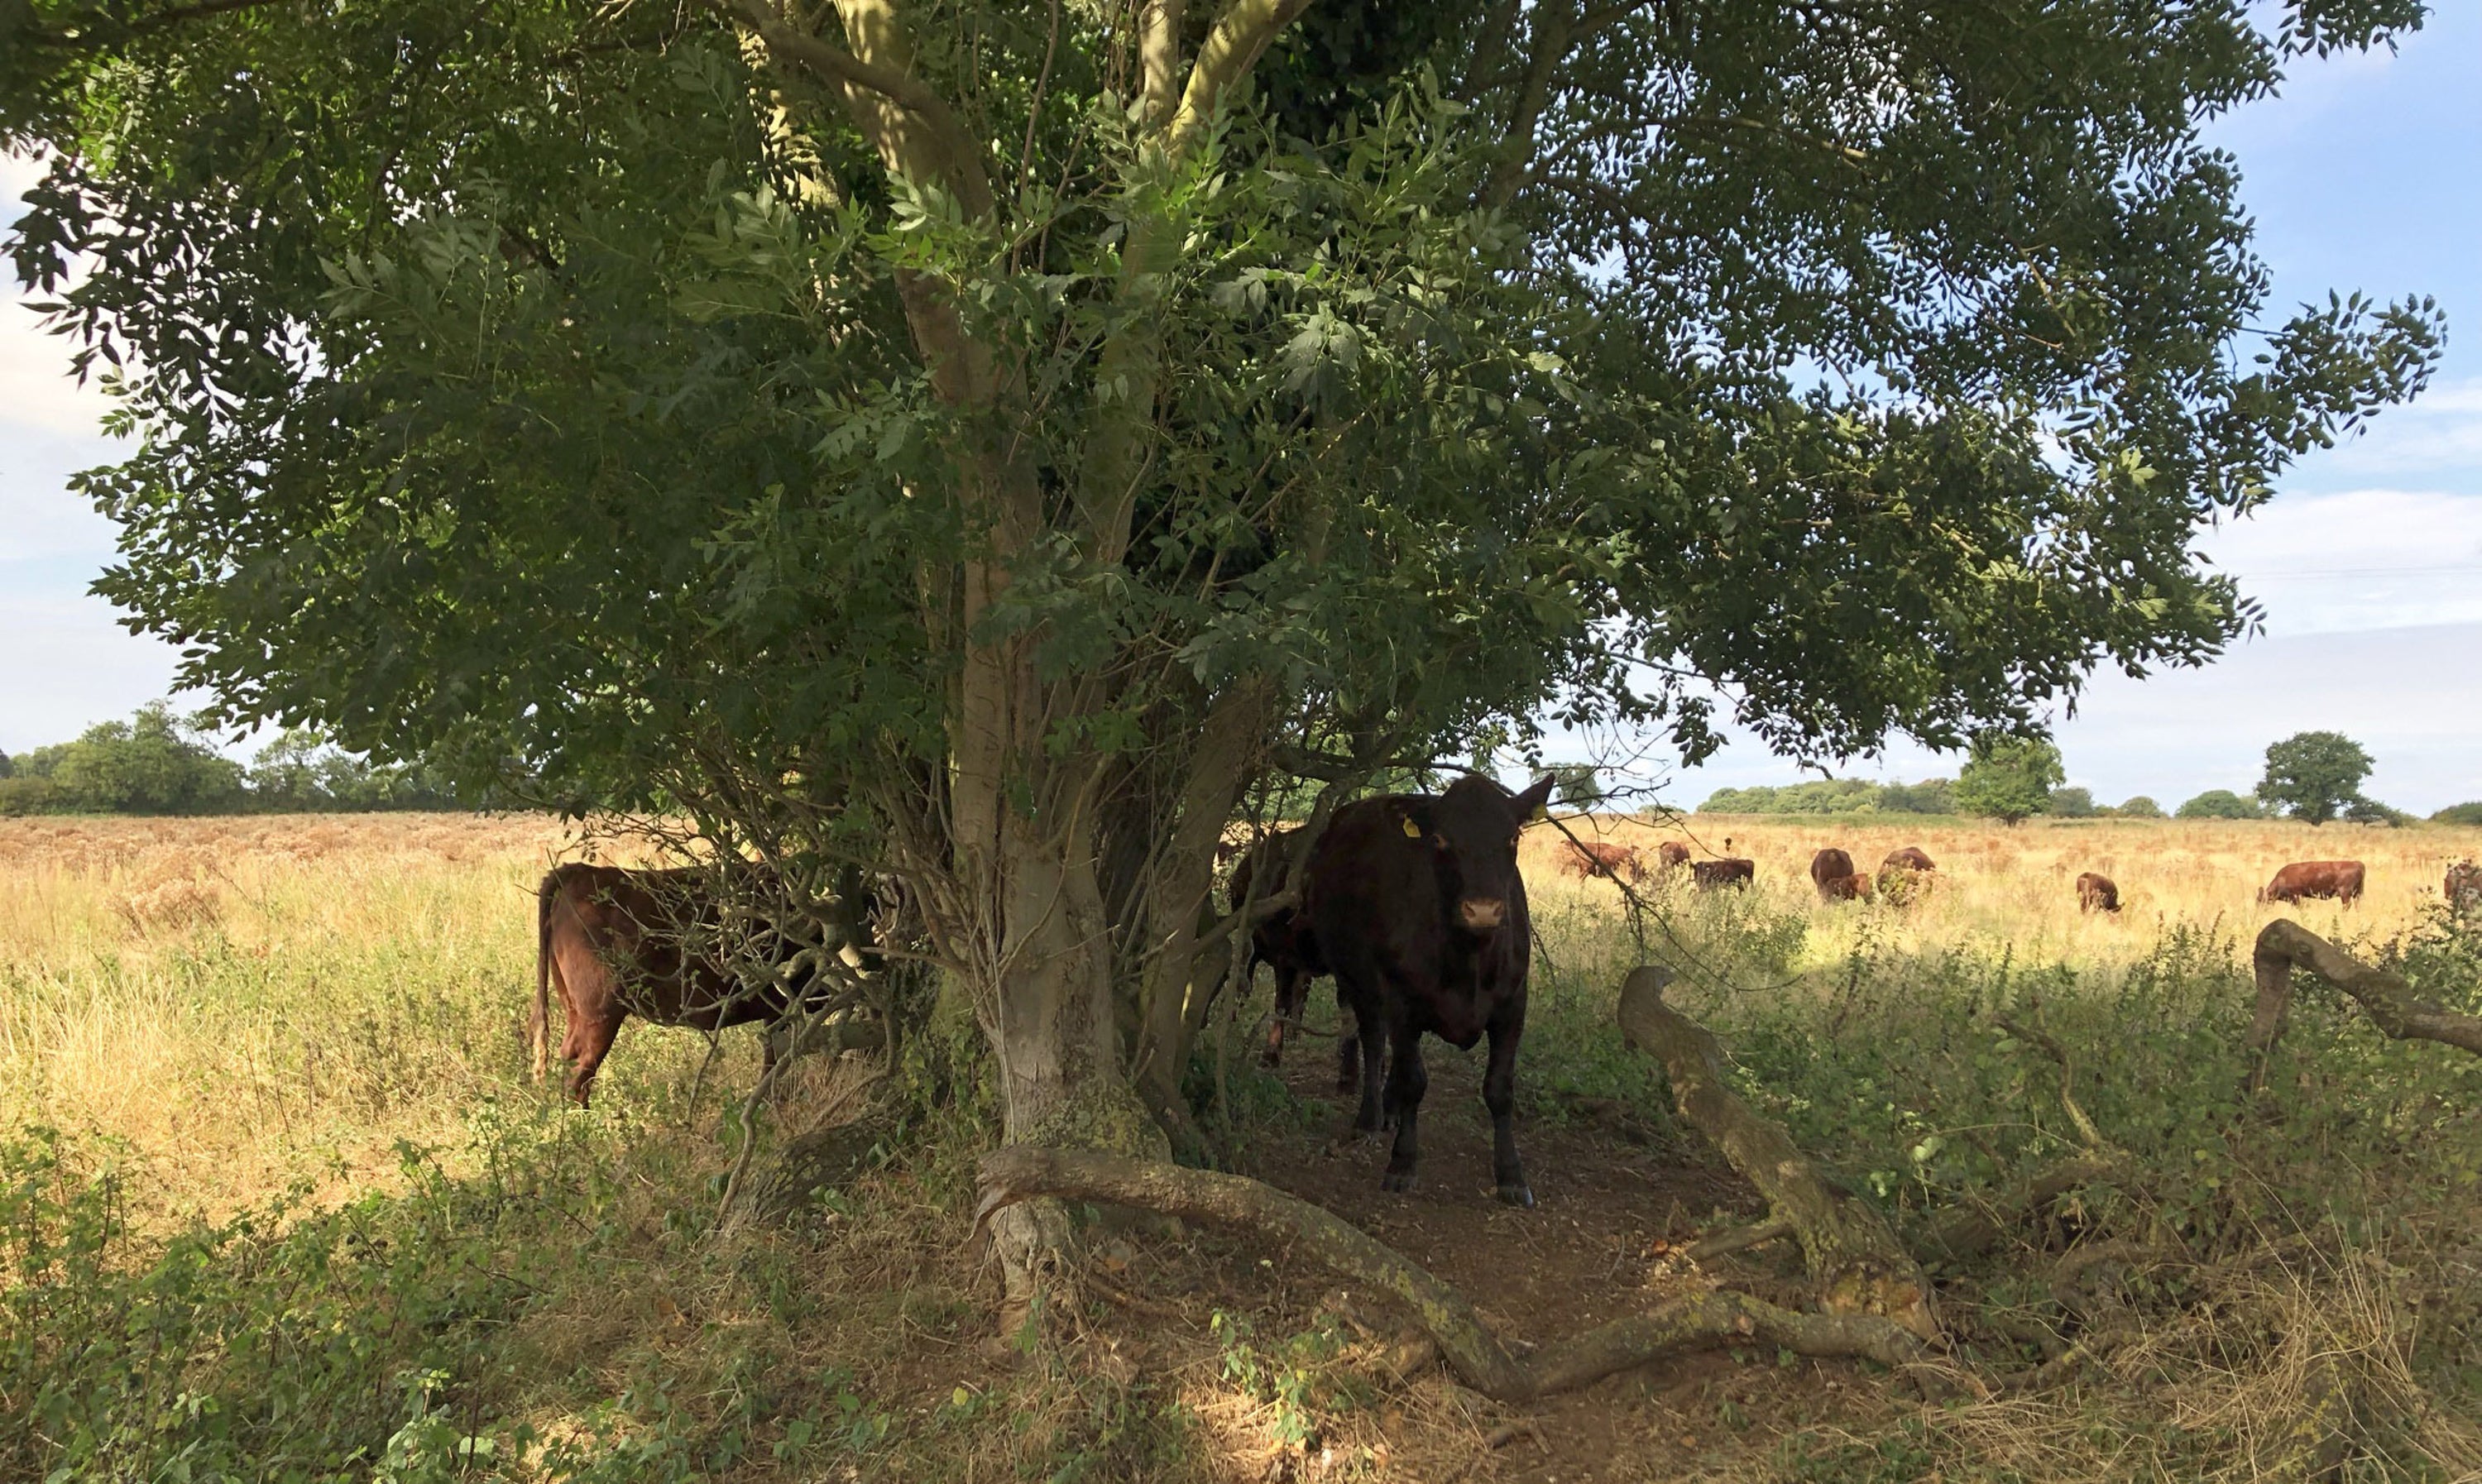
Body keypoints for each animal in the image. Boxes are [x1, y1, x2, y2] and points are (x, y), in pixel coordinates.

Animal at [1301, 779, 1549, 1211]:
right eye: (1440, 839)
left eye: (1513, 837)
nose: (1483, 910)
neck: (1468, 960)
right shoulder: (1402, 1001)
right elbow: (1414, 1080)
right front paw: (1402, 1163)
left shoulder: (1513, 1004)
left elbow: (1500, 1089)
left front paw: (1512, 1175)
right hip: (1356, 981)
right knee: (1373, 1042)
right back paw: (1371, 1117)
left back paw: (1390, 1109)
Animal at [2254, 859, 2363, 908]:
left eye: (2263, 901)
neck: (2282, 879)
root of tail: (2356, 863)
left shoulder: (2296, 898)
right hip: (2357, 894)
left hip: (2345, 894)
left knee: (2347, 906)